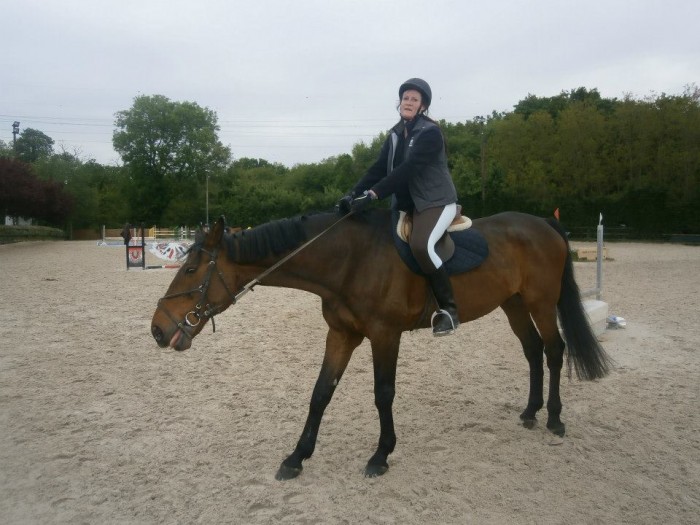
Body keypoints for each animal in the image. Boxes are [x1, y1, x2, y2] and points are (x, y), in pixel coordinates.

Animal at [150, 209, 612, 480]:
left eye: (190, 269)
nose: (157, 329)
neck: (349, 261)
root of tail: (543, 223)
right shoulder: (342, 334)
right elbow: (320, 393)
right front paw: (296, 457)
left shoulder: (384, 335)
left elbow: (383, 393)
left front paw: (380, 455)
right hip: (513, 303)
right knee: (532, 351)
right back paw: (531, 412)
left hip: (541, 302)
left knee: (553, 351)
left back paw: (554, 419)